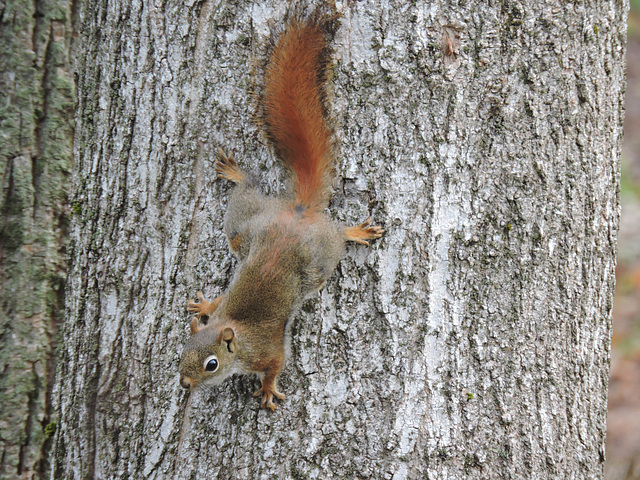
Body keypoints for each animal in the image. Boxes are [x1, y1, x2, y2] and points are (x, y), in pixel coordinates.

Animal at [178, 16, 382, 410]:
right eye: (182, 353)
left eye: (211, 364)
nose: (184, 383)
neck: (236, 335)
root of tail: (296, 214)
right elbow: (218, 300)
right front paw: (204, 304)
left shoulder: (266, 351)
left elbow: (275, 364)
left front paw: (269, 389)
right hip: (246, 226)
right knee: (247, 196)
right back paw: (236, 174)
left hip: (320, 258)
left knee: (337, 237)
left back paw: (355, 232)